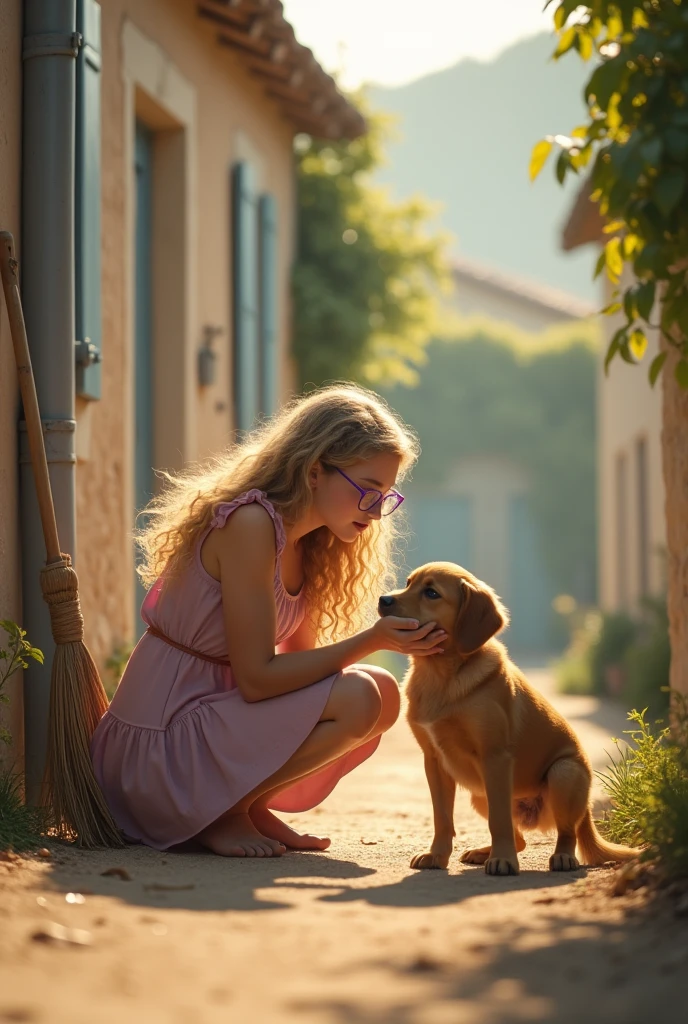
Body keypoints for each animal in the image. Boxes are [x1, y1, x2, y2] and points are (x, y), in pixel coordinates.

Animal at [378, 565, 638, 876]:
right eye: (408, 583)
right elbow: (442, 818)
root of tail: (586, 807)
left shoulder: (495, 757)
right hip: (479, 794)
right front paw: (437, 856)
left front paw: (503, 860)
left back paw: (562, 857)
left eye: (431, 593)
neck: (441, 676)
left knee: (566, 832)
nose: (383, 600)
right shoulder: (434, 761)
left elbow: (498, 821)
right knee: (520, 837)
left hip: (563, 772)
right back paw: (482, 852)